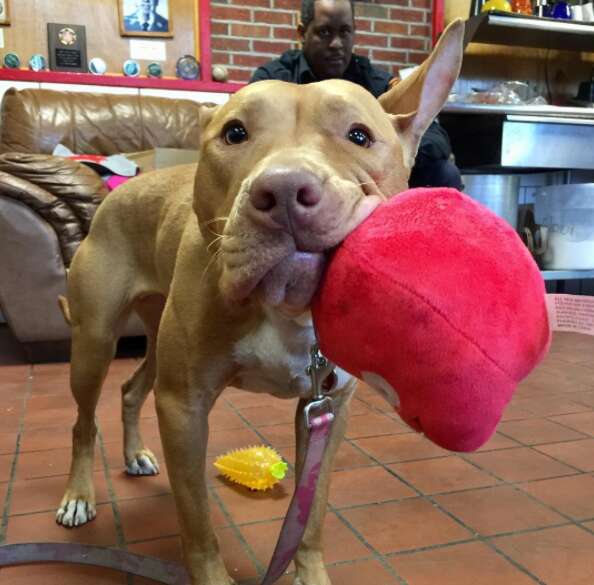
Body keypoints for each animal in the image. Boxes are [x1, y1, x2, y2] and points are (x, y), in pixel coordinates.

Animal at [55, 20, 462, 584]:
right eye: (235, 133)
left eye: (359, 135)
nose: (286, 190)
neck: (288, 313)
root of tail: (121, 190)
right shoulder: (184, 407)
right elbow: (197, 524)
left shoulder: (327, 408)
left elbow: (312, 514)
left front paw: (309, 572)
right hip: (93, 343)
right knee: (83, 420)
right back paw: (77, 496)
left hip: (157, 338)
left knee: (133, 390)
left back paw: (135, 454)